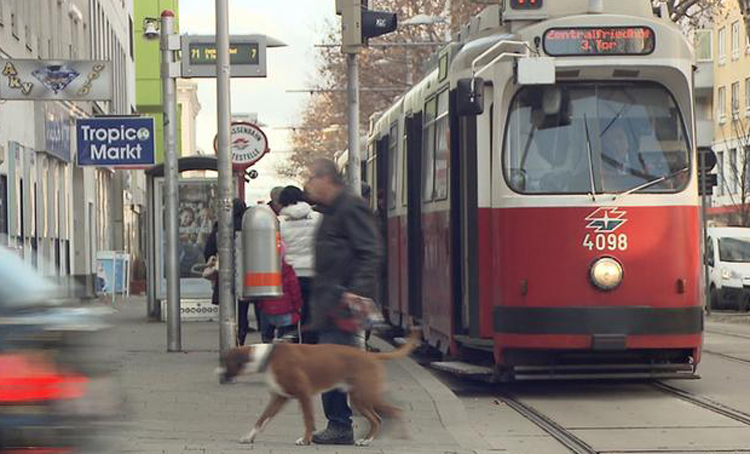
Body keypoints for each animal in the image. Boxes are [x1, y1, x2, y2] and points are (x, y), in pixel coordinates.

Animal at [216, 330, 424, 446]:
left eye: (225, 362)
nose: (217, 375)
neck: (268, 356)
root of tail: (370, 355)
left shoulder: (303, 394)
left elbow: (308, 420)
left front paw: (305, 440)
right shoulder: (279, 398)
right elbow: (261, 420)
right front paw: (248, 437)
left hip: (364, 396)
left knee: (389, 414)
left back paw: (381, 438)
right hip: (360, 398)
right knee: (382, 416)